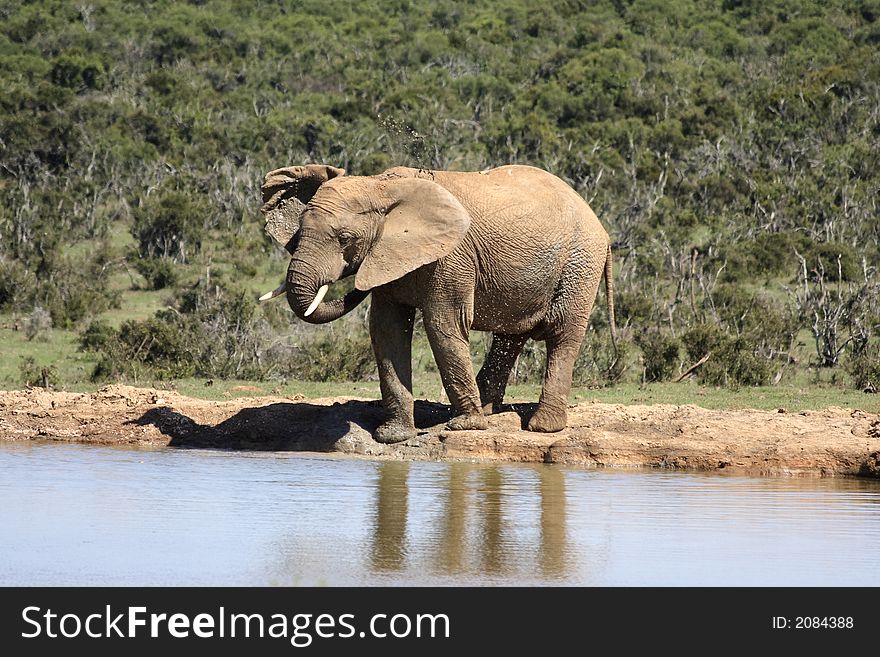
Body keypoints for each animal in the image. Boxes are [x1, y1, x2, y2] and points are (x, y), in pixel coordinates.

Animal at [258, 161, 616, 444]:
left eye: (345, 239)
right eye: (298, 233)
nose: (353, 279)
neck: (381, 186)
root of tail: (601, 225)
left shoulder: (451, 257)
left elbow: (442, 325)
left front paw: (465, 427)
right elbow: (387, 330)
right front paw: (393, 436)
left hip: (580, 263)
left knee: (562, 335)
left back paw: (542, 428)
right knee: (511, 336)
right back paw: (488, 409)